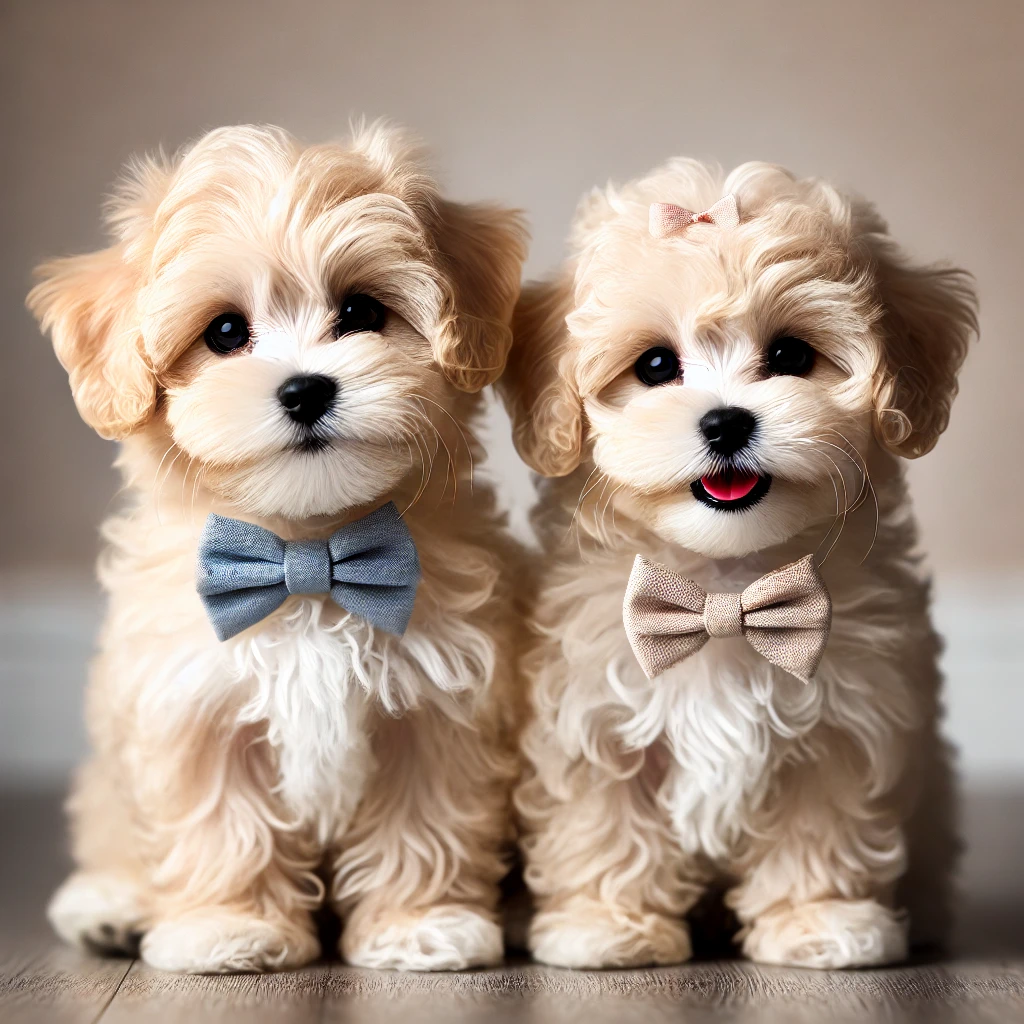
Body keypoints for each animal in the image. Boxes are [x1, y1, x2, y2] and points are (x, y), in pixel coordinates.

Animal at [29, 123, 528, 970]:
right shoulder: (194, 699)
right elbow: (223, 826)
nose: (305, 388)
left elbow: (422, 821)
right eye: (226, 332)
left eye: (360, 311)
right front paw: (229, 928)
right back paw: (109, 904)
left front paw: (419, 925)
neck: (306, 554)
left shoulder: (435, 704)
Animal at [499, 157, 978, 966]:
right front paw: (608, 924)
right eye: (656, 365)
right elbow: (607, 822)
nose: (726, 422)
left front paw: (818, 922)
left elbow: (820, 828)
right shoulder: (596, 711)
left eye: (789, 355)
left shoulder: (845, 719)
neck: (725, 585)